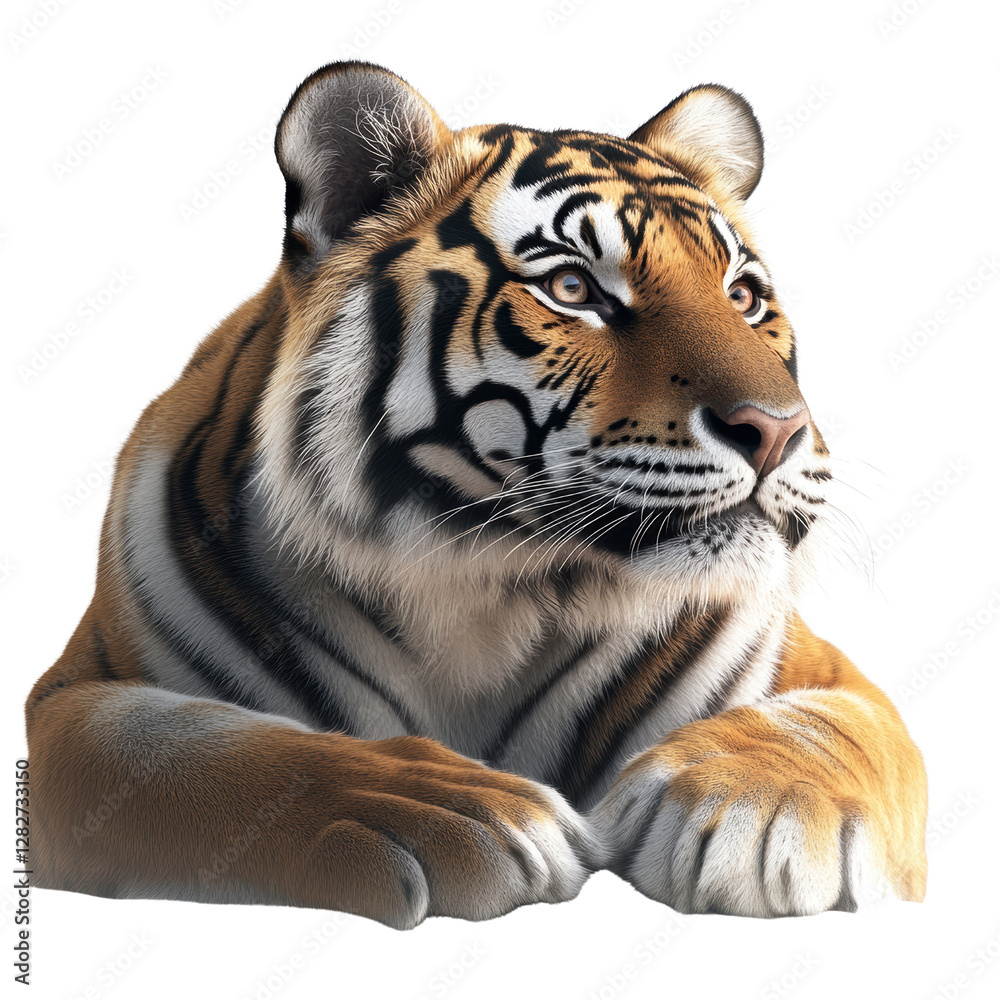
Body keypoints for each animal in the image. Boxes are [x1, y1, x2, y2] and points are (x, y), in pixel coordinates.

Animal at [25, 60, 927, 929]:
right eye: (574, 290)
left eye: (743, 296)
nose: (776, 432)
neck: (491, 585)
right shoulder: (72, 699)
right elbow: (214, 753)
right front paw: (445, 809)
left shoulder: (829, 674)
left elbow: (833, 727)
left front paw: (747, 816)